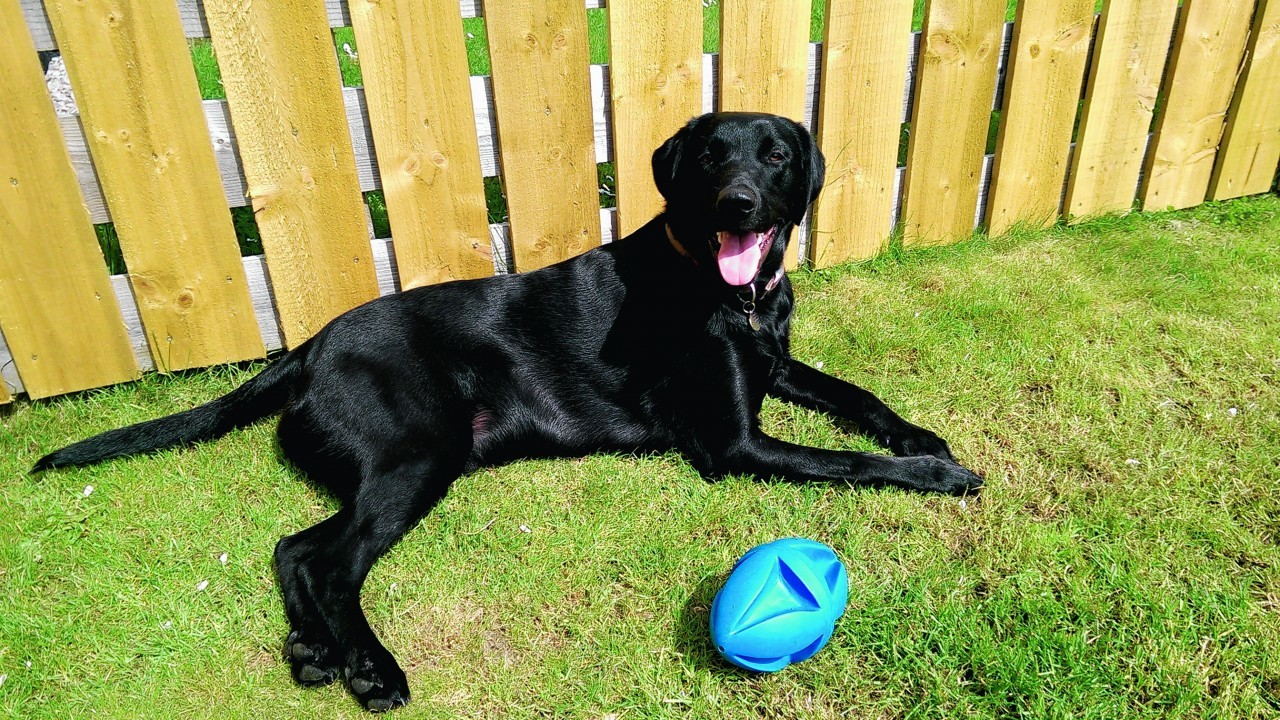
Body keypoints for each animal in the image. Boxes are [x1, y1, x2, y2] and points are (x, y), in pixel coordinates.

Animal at [37, 112, 977, 707]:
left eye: (777, 155)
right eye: (711, 157)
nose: (739, 204)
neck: (732, 294)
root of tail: (305, 347)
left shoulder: (773, 369)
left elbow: (854, 396)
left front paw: (920, 434)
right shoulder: (731, 443)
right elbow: (848, 460)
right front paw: (938, 472)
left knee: (295, 547)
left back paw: (315, 653)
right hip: (421, 452)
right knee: (330, 561)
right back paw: (372, 670)